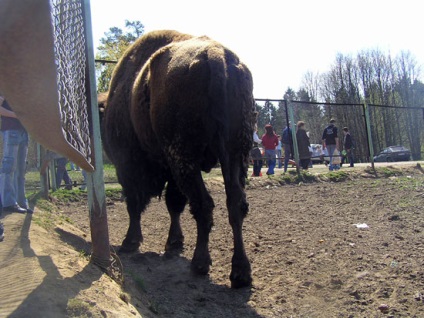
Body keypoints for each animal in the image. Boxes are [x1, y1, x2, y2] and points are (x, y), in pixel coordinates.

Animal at [102, 30, 255, 288]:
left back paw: (200, 263)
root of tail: (216, 56)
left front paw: (130, 242)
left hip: (185, 158)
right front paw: (174, 243)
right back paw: (240, 272)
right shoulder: (172, 170)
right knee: (236, 204)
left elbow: (135, 204)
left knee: (203, 204)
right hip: (235, 155)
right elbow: (174, 204)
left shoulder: (129, 166)